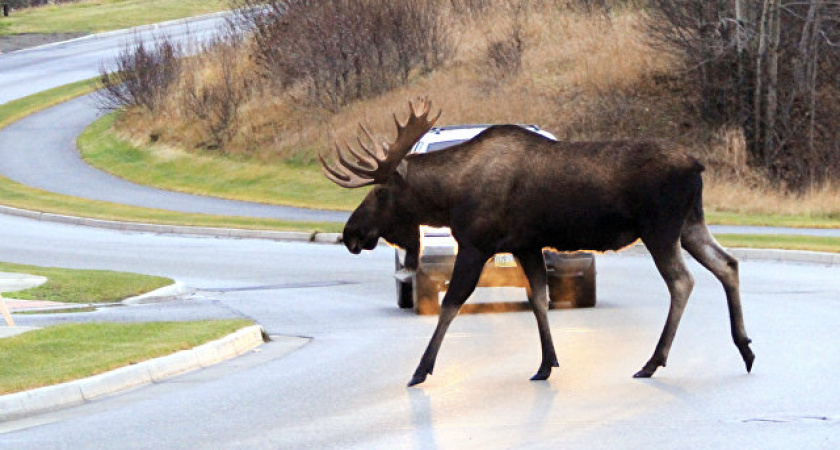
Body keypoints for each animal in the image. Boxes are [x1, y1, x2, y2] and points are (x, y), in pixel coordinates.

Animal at [320, 97, 754, 387]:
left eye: (379, 193)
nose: (350, 233)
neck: (449, 197)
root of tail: (696, 166)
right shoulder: (525, 244)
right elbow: (539, 299)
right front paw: (547, 364)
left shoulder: (476, 244)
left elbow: (450, 304)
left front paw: (420, 370)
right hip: (690, 223)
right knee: (727, 263)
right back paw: (745, 348)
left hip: (660, 228)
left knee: (683, 281)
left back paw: (653, 361)